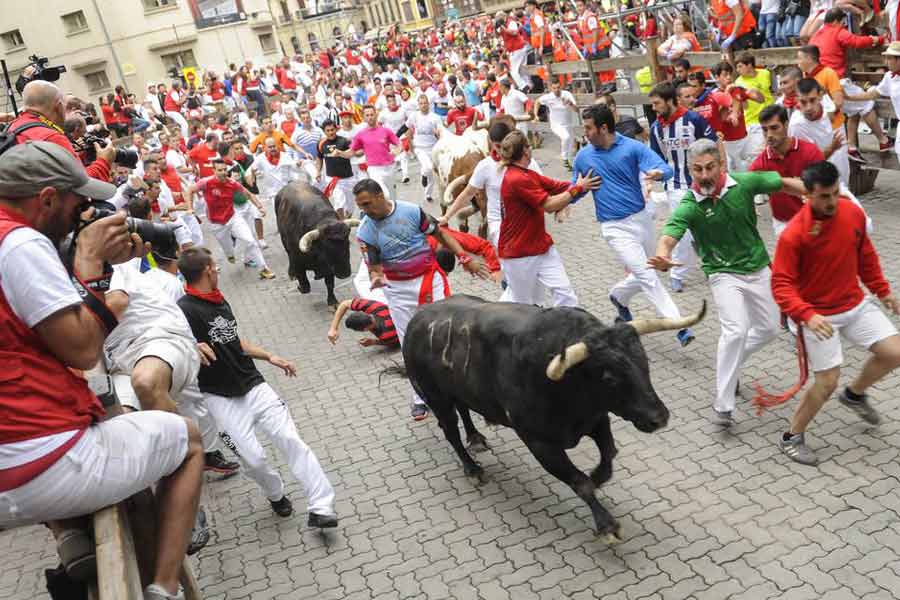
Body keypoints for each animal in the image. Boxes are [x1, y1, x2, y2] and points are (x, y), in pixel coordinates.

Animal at [400, 294, 704, 540]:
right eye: (608, 376)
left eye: (644, 361)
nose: (659, 417)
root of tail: (418, 319)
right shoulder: (540, 443)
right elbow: (579, 482)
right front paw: (606, 525)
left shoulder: (597, 418)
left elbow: (608, 455)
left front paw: (597, 476)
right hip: (435, 396)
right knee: (450, 431)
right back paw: (472, 469)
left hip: (457, 389)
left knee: (464, 408)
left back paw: (475, 438)